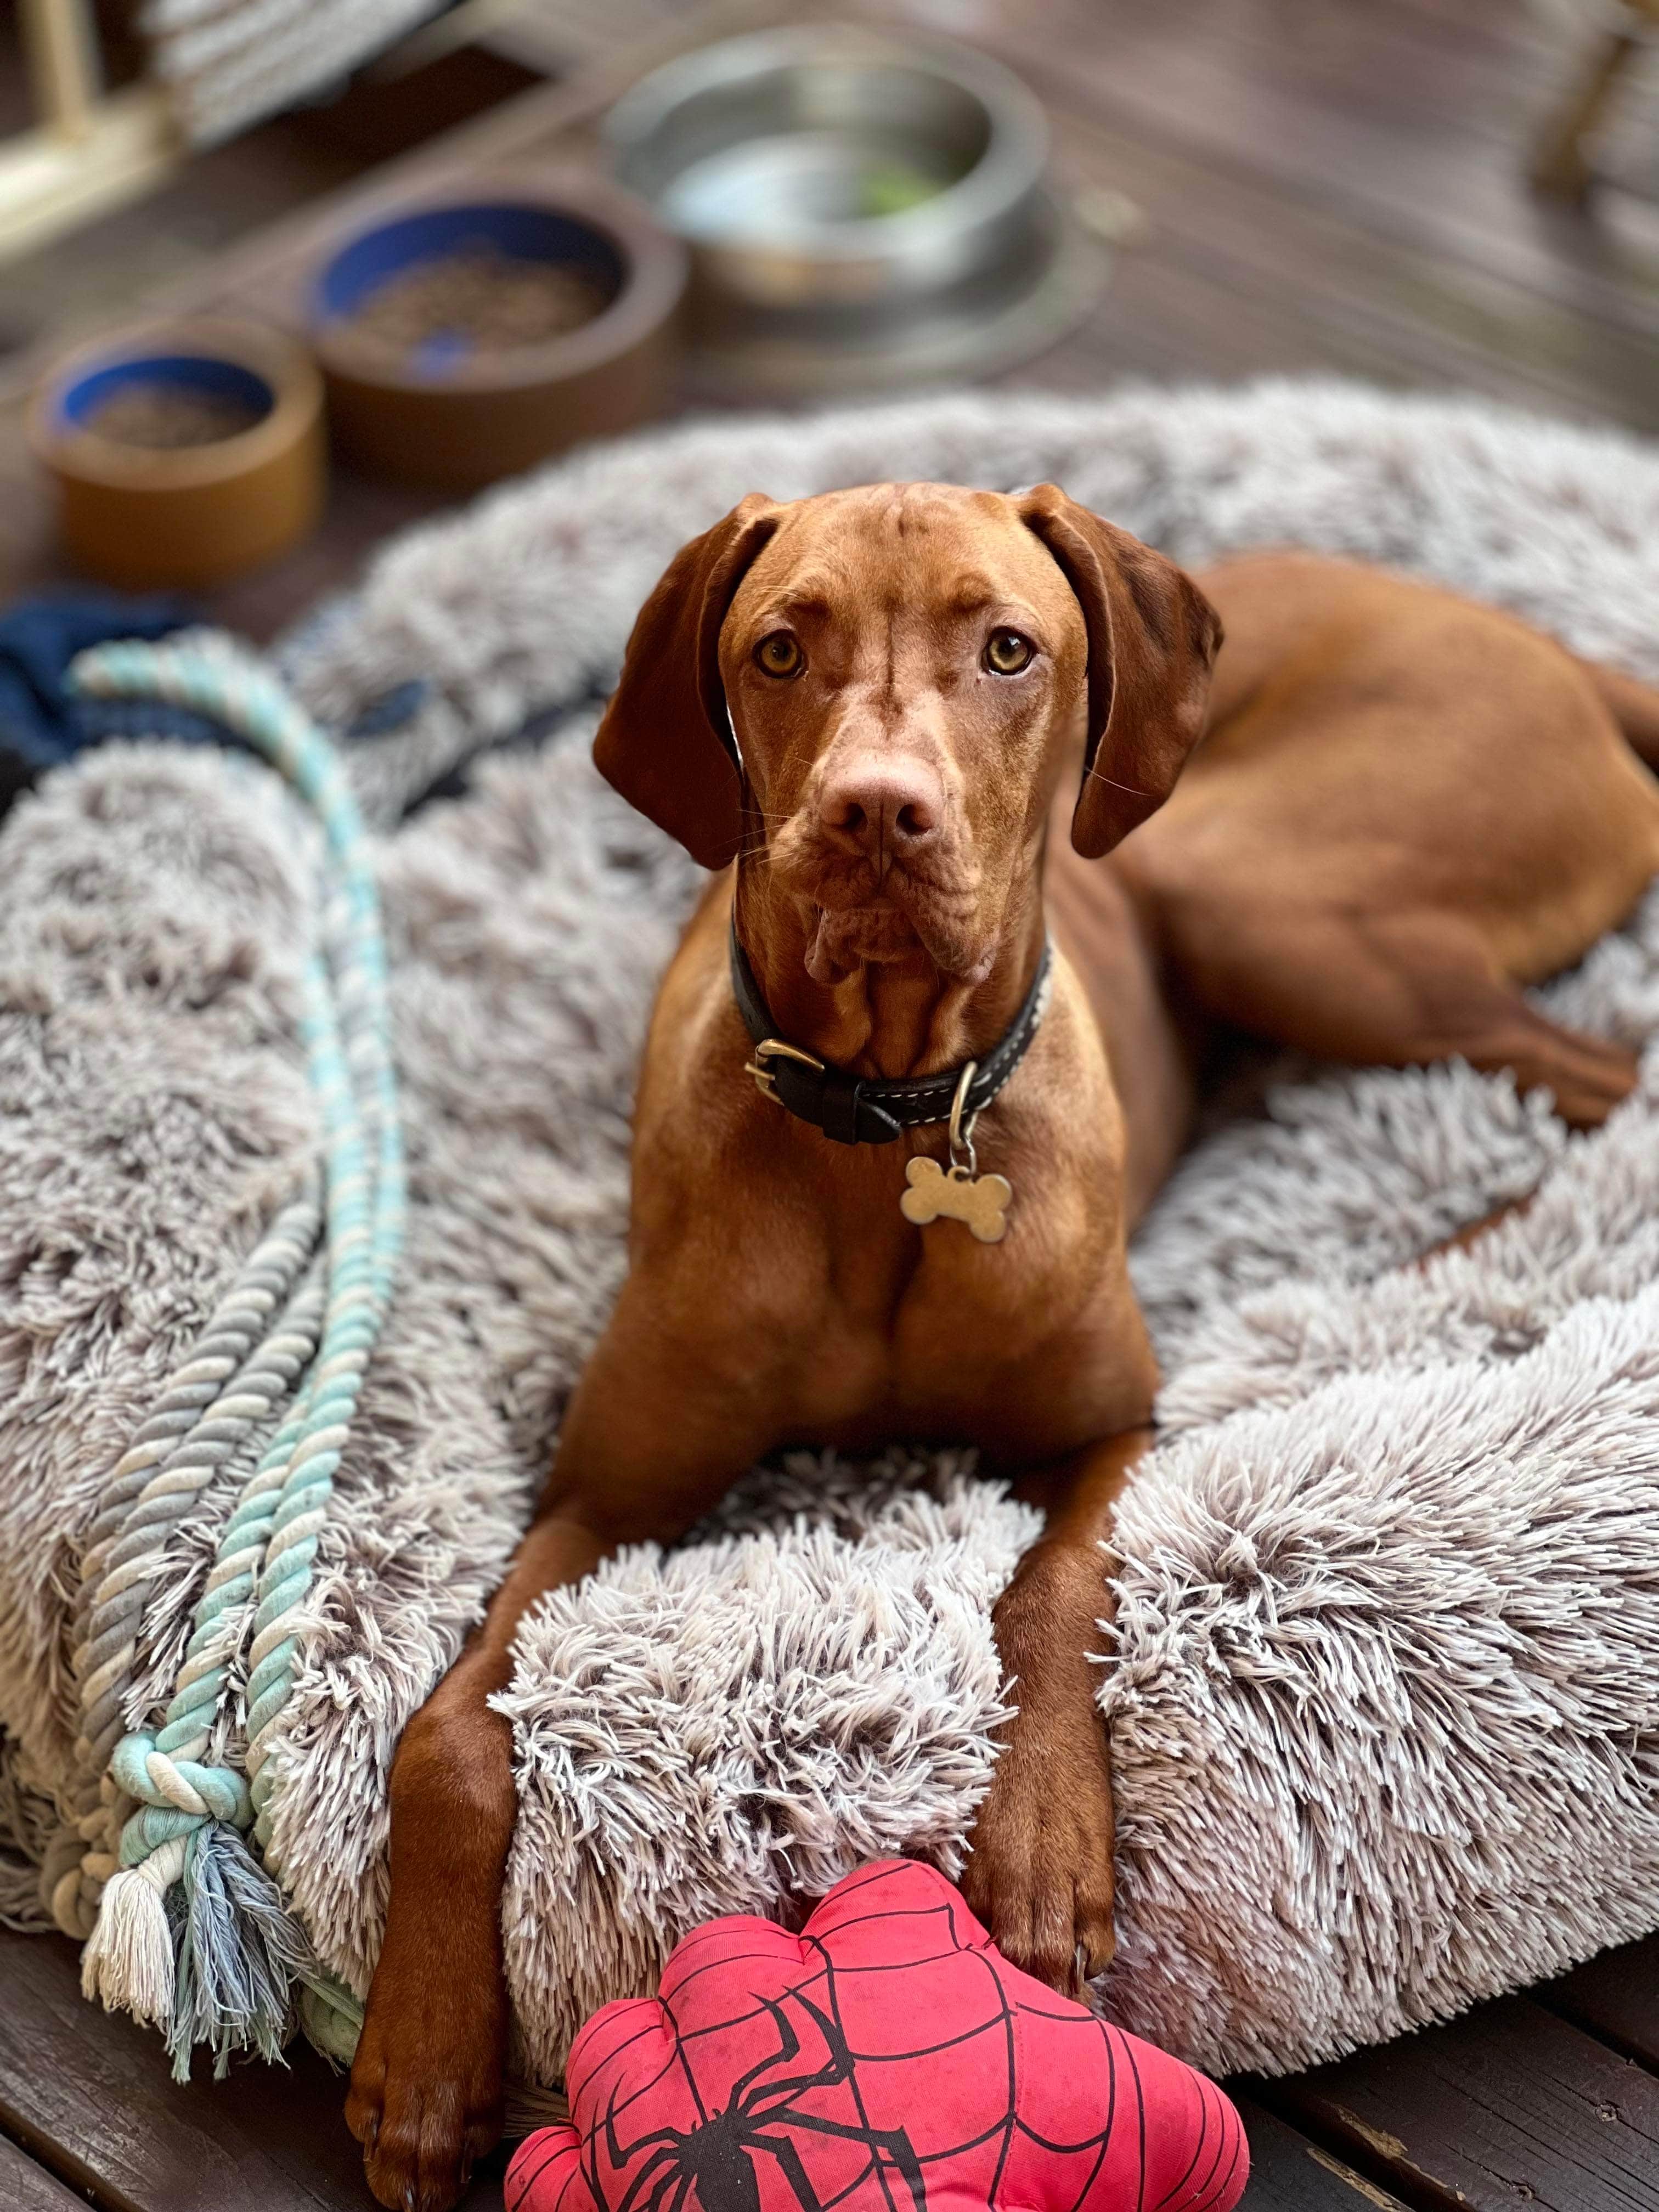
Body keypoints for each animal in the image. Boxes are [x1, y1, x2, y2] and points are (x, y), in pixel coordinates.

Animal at [340, 489, 1659, 2212]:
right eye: (781, 649)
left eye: (1009, 650)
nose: (874, 814)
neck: (893, 1122)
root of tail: (1545, 641)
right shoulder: (600, 1503)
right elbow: (446, 1741)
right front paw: (424, 2059)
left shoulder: (1110, 1434)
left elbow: (1049, 1595)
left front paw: (1040, 1851)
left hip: (1255, 890)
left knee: (1600, 1075)